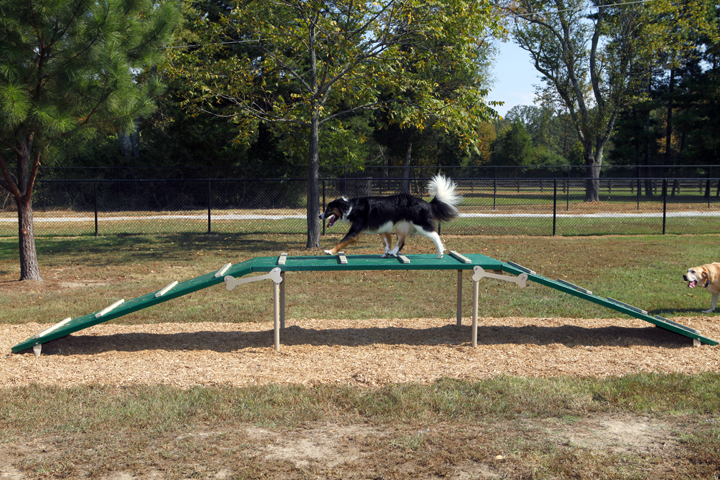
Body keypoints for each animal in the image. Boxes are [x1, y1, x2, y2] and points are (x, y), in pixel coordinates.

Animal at [320, 175, 462, 258]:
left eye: (328, 209)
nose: (320, 216)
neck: (350, 207)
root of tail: (426, 202)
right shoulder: (383, 227)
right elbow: (386, 242)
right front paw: (386, 252)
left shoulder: (354, 231)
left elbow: (341, 242)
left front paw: (330, 251)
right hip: (401, 226)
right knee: (402, 242)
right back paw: (393, 252)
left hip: (421, 224)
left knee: (435, 236)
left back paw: (440, 253)